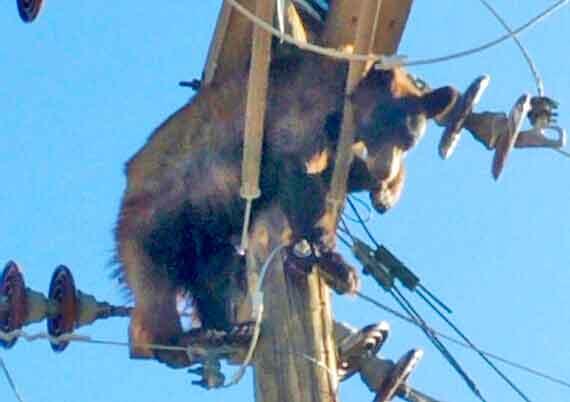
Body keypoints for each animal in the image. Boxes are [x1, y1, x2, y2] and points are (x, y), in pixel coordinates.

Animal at [113, 48, 454, 370]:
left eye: (408, 141)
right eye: (384, 127)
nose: (384, 171)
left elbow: (334, 173)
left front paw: (386, 190)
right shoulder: (303, 108)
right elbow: (297, 170)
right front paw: (333, 261)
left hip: (206, 231)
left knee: (215, 275)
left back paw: (226, 330)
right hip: (157, 223)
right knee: (155, 289)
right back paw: (173, 343)